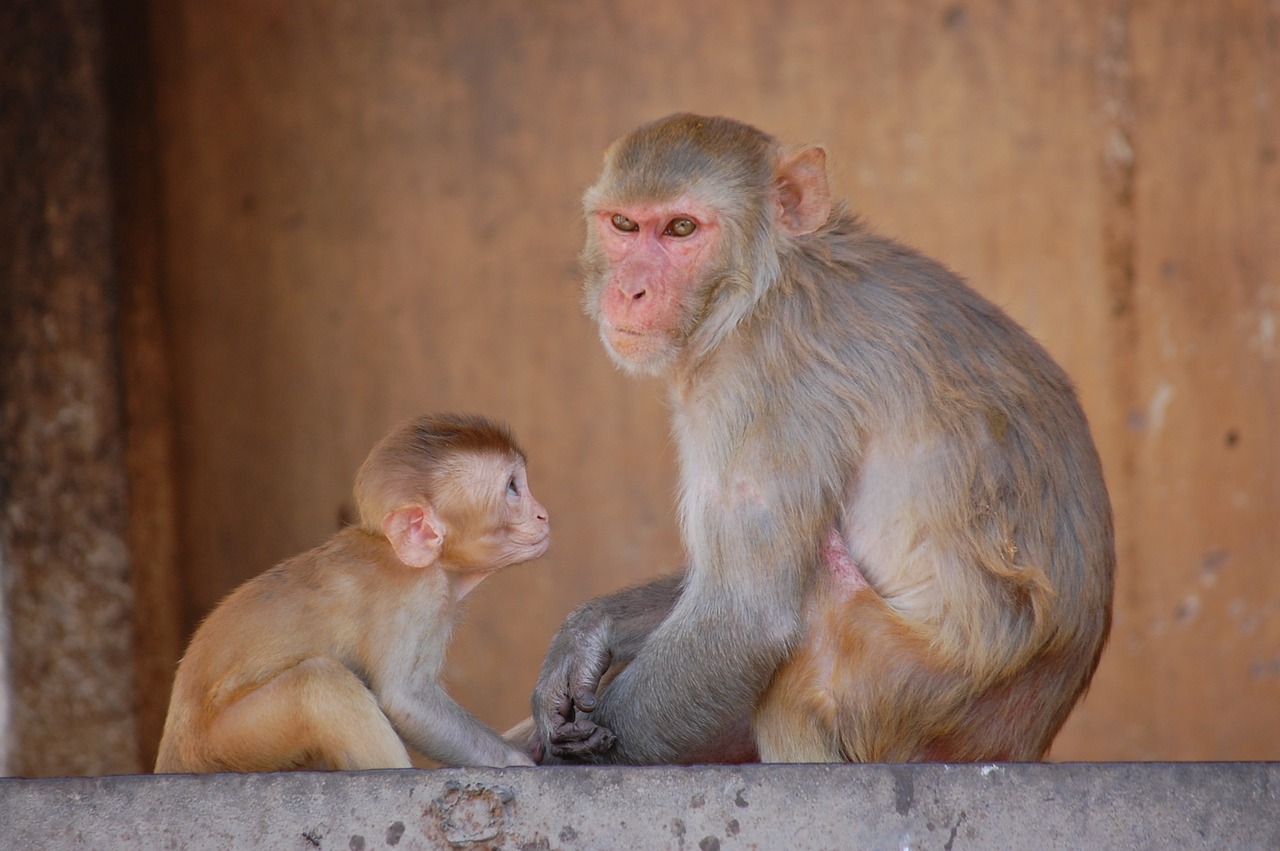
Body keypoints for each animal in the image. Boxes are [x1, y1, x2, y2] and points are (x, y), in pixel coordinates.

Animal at [152, 412, 547, 767]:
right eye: (513, 488)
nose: (542, 513)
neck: (391, 550)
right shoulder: (417, 596)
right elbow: (406, 700)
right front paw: (521, 760)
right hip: (225, 743)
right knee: (319, 682)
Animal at [527, 111, 1111, 762]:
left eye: (681, 228)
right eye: (624, 225)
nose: (630, 289)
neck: (765, 284)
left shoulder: (765, 384)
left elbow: (745, 617)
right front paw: (583, 635)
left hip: (884, 691)